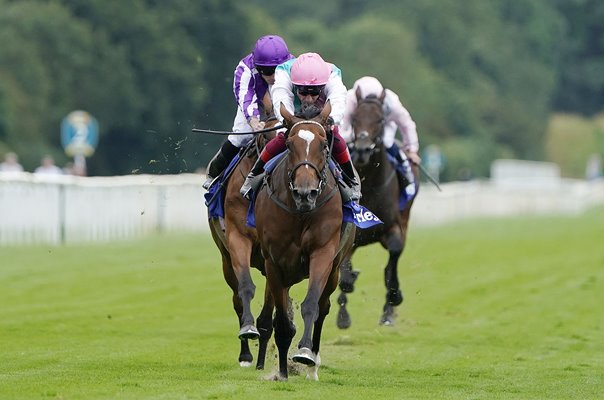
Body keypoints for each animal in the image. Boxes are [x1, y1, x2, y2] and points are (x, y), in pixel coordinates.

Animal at [208, 95, 278, 370]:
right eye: (265, 137)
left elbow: (270, 311)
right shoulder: (238, 239)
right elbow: (245, 288)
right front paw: (249, 332)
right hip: (225, 258)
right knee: (237, 299)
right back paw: (246, 354)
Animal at [254, 101, 356, 380]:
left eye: (323, 145)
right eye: (289, 145)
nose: (305, 193)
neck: (300, 212)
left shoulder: (323, 254)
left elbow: (311, 306)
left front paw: (305, 353)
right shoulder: (274, 264)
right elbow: (282, 321)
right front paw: (282, 372)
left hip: (335, 269)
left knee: (323, 307)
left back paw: (313, 366)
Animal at [336, 87, 420, 328]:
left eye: (381, 119)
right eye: (355, 118)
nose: (363, 150)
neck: (371, 183)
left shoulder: (394, 229)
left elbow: (392, 264)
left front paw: (392, 301)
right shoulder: (350, 233)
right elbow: (345, 276)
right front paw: (343, 315)